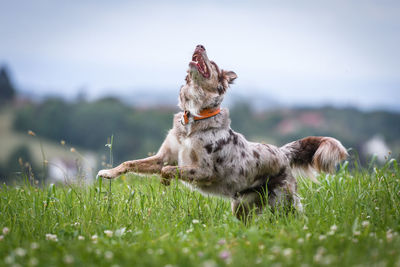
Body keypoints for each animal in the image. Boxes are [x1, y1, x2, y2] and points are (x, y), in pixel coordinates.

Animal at [97, 44, 346, 220]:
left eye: (214, 64)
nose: (200, 45)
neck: (194, 117)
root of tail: (282, 152)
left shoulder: (205, 170)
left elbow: (169, 170)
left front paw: (165, 181)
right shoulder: (164, 156)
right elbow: (131, 163)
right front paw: (108, 173)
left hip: (282, 203)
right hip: (242, 206)